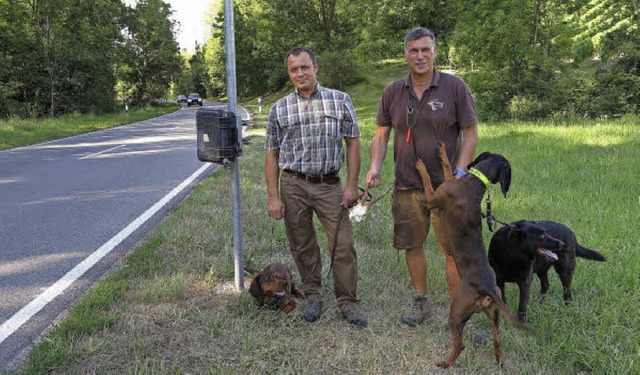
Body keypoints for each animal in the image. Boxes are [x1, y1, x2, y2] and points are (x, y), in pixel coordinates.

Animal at [416, 145, 528, 368]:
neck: (475, 184)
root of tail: (488, 290)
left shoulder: (433, 199)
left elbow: (428, 180)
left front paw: (421, 164)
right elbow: (448, 168)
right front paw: (442, 153)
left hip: (457, 311)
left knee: (461, 345)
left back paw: (444, 363)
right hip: (493, 315)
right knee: (497, 341)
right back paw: (499, 362)